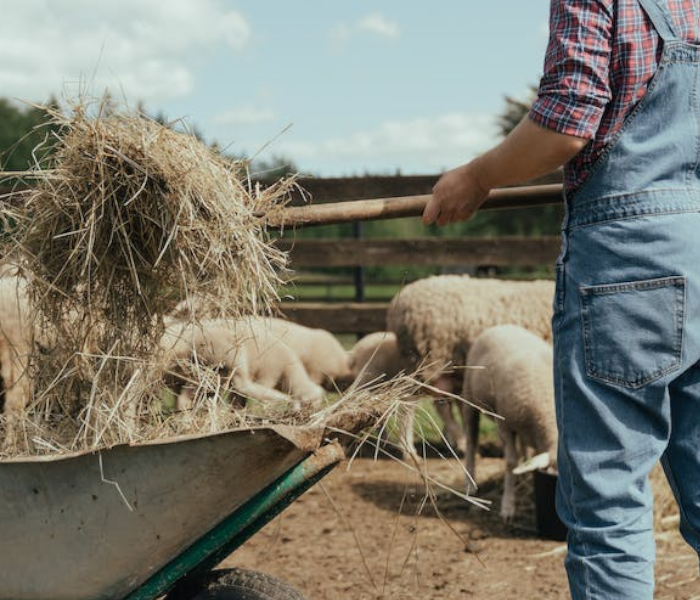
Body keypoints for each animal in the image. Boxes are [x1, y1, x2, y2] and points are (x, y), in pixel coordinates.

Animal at [159, 318, 326, 412]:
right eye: (312, 403)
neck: (289, 371)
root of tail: (194, 343)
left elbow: (237, 400)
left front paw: (238, 412)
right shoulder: (269, 372)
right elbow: (260, 389)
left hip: (206, 372)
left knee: (186, 397)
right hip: (233, 357)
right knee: (244, 385)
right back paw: (282, 398)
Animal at [462, 324, 556, 520]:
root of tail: (502, 326)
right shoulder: (505, 426)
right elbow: (511, 463)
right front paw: (507, 507)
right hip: (469, 397)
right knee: (471, 441)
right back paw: (470, 484)